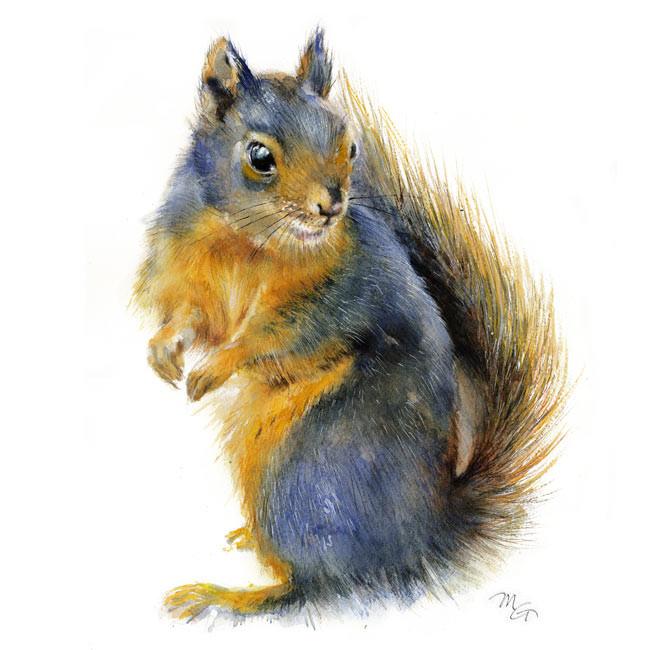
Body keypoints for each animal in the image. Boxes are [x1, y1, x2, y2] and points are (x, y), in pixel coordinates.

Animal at [133, 29, 567, 620]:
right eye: (259, 156)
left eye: (351, 147)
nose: (331, 206)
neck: (251, 242)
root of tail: (426, 537)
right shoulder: (188, 269)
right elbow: (194, 317)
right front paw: (164, 348)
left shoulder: (336, 296)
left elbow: (275, 337)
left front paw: (213, 369)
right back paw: (246, 545)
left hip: (307, 471)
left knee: (316, 587)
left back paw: (227, 597)